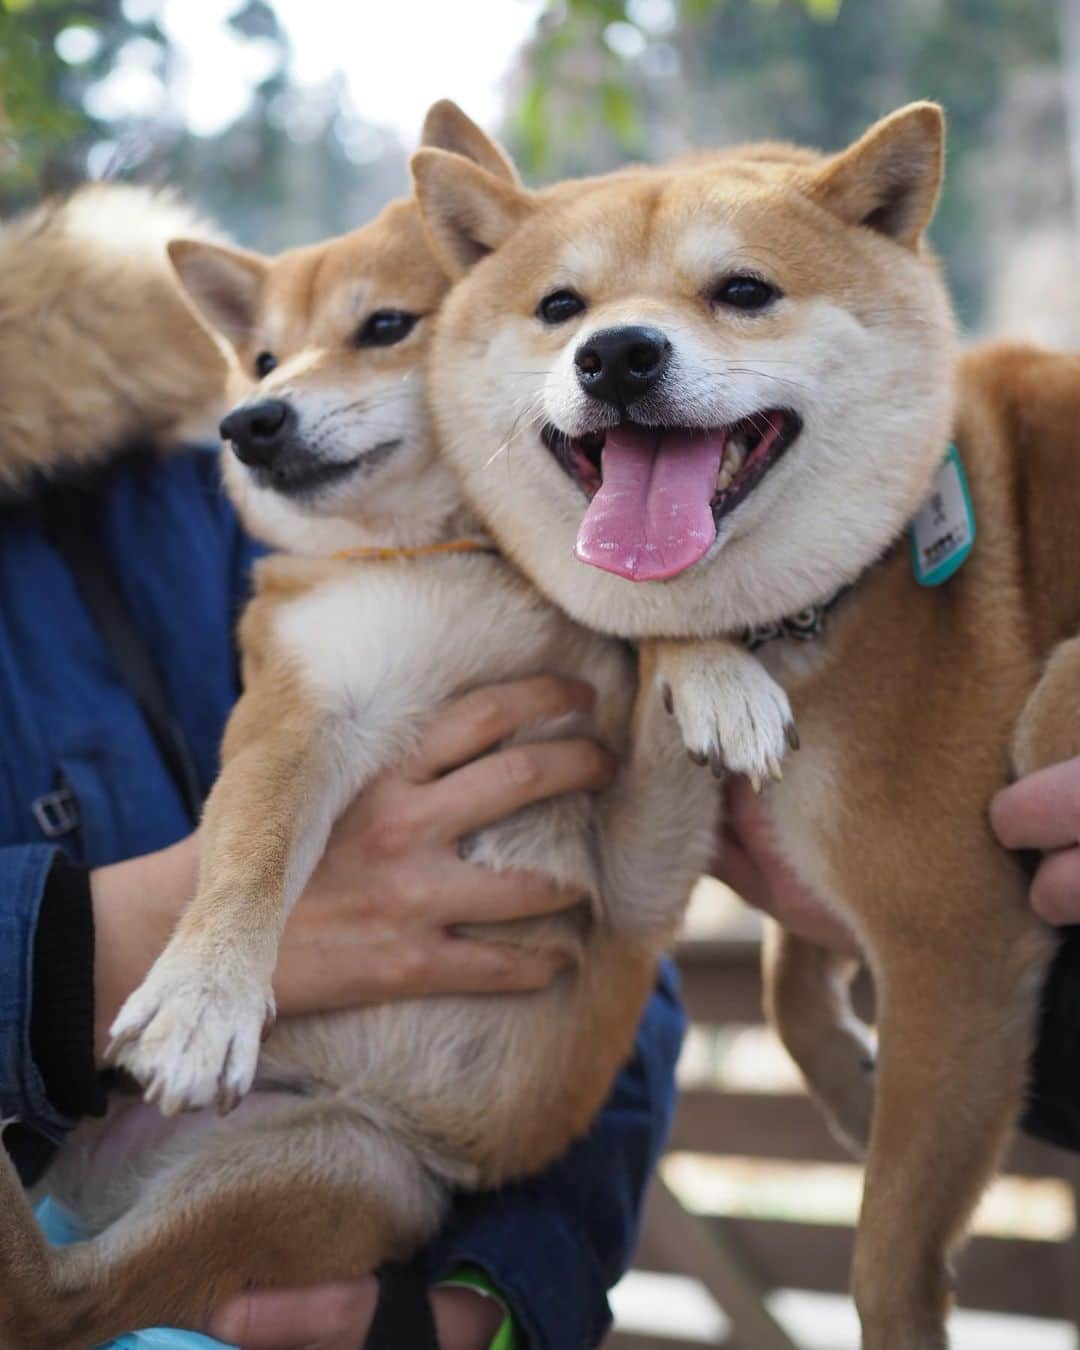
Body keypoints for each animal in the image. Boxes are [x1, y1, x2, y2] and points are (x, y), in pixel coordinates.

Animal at [0, 108, 718, 1350]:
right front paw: (204, 996)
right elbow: (251, 852)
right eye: (262, 360)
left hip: (343, 1162)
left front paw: (722, 670)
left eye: (384, 326)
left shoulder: (629, 880)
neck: (436, 557)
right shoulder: (300, 718)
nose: (248, 422)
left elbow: (652, 606)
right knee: (54, 1300)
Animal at [413, 99, 1080, 1344]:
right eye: (561, 307)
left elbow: (886, 1257)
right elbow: (785, 979)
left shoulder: (957, 952)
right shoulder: (825, 867)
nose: (618, 353)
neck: (832, 606)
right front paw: (849, 1083)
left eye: (743, 291)